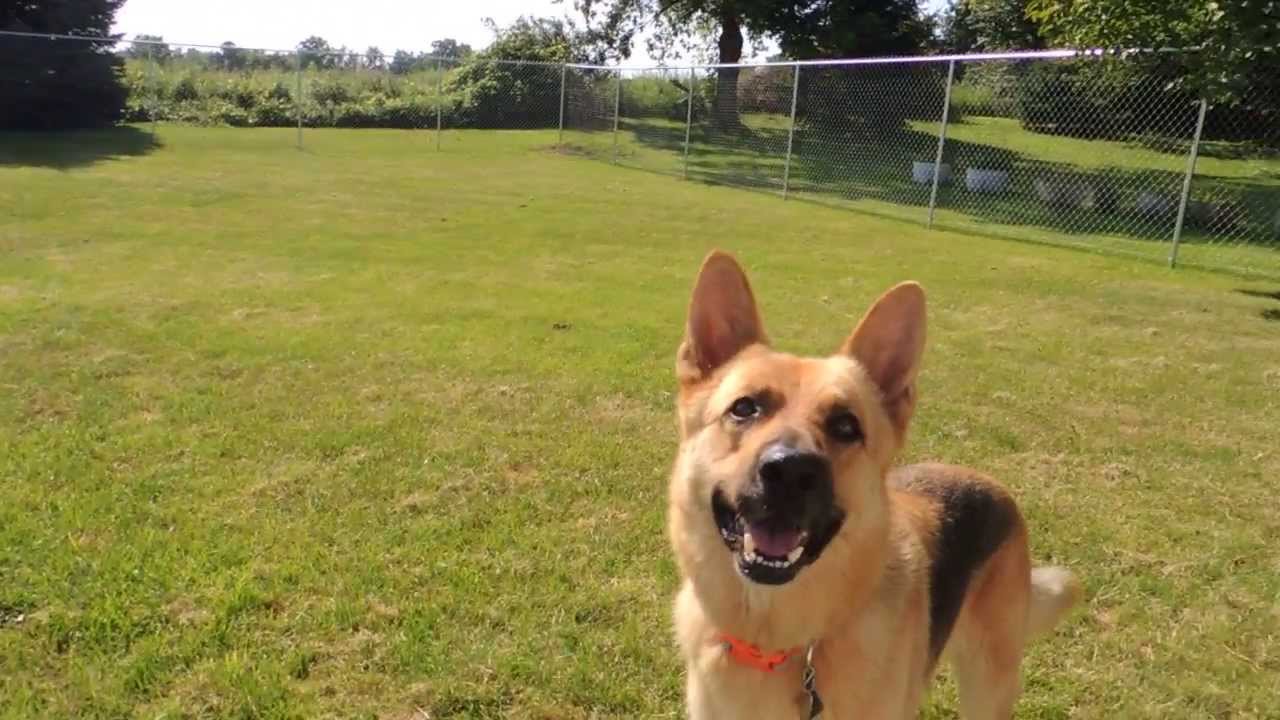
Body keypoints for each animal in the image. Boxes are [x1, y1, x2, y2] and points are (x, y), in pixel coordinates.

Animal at [670, 252, 1080, 717]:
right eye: (744, 408)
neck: (778, 644)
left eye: (846, 426)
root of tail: (991, 484)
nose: (791, 472)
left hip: (986, 686)